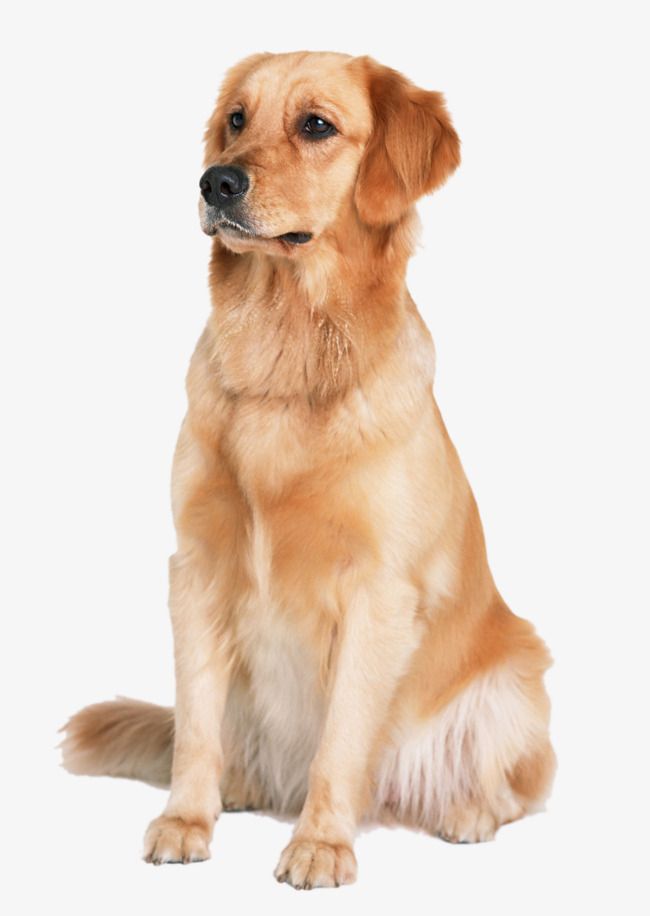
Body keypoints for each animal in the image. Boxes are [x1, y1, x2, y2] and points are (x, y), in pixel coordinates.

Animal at [63, 50, 556, 888]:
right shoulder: (197, 566)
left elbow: (342, 740)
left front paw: (322, 844)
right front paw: (184, 821)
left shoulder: (378, 592)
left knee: (513, 785)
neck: (286, 353)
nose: (214, 182)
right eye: (235, 118)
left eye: (317, 125)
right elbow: (196, 727)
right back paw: (239, 787)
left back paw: (465, 813)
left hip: (516, 681)